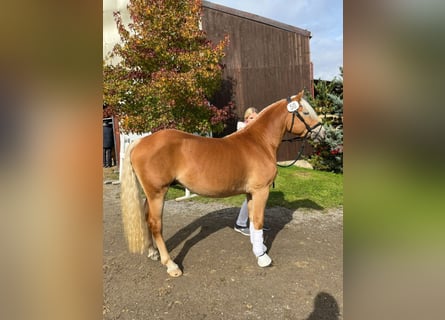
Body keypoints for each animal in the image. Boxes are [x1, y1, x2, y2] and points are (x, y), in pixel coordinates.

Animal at [119, 89, 324, 276]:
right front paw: (263, 257)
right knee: (155, 224)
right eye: (306, 113)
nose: (322, 132)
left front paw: (258, 247)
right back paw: (171, 265)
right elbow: (258, 221)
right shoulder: (261, 191)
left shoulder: (250, 193)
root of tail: (140, 141)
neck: (259, 143)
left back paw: (152, 252)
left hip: (150, 194)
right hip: (157, 193)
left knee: (146, 217)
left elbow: (252, 220)